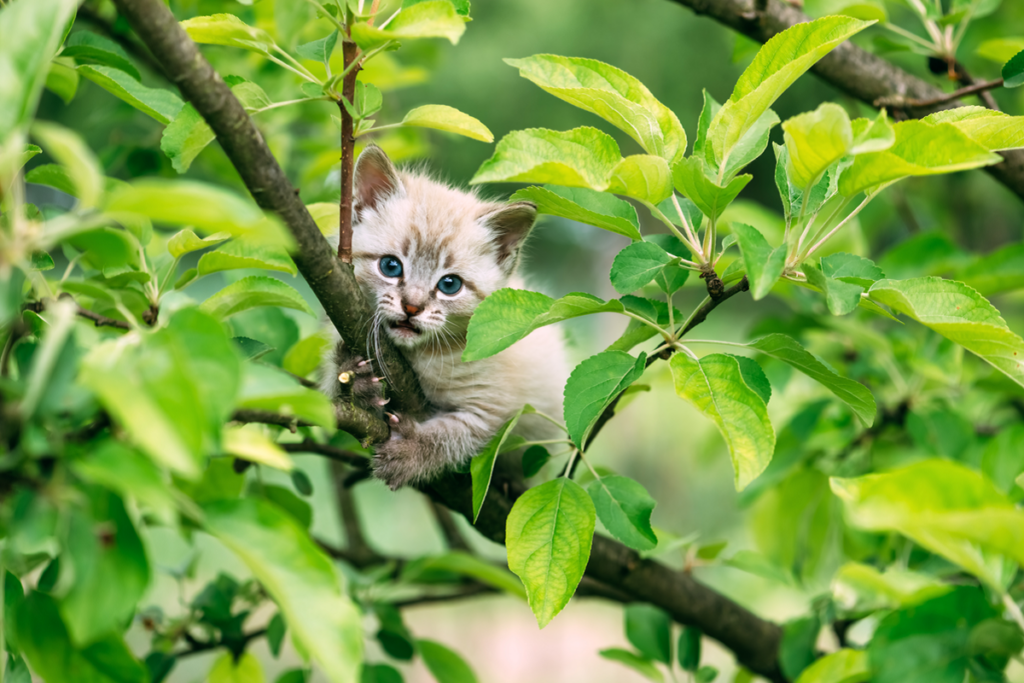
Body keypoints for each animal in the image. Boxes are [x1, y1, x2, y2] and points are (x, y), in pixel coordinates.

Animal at [321, 147, 569, 489]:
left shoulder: (492, 408)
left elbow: (453, 436)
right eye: (390, 266)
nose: (412, 307)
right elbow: (332, 395)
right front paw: (356, 380)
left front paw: (410, 452)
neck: (420, 354)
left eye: (449, 285)